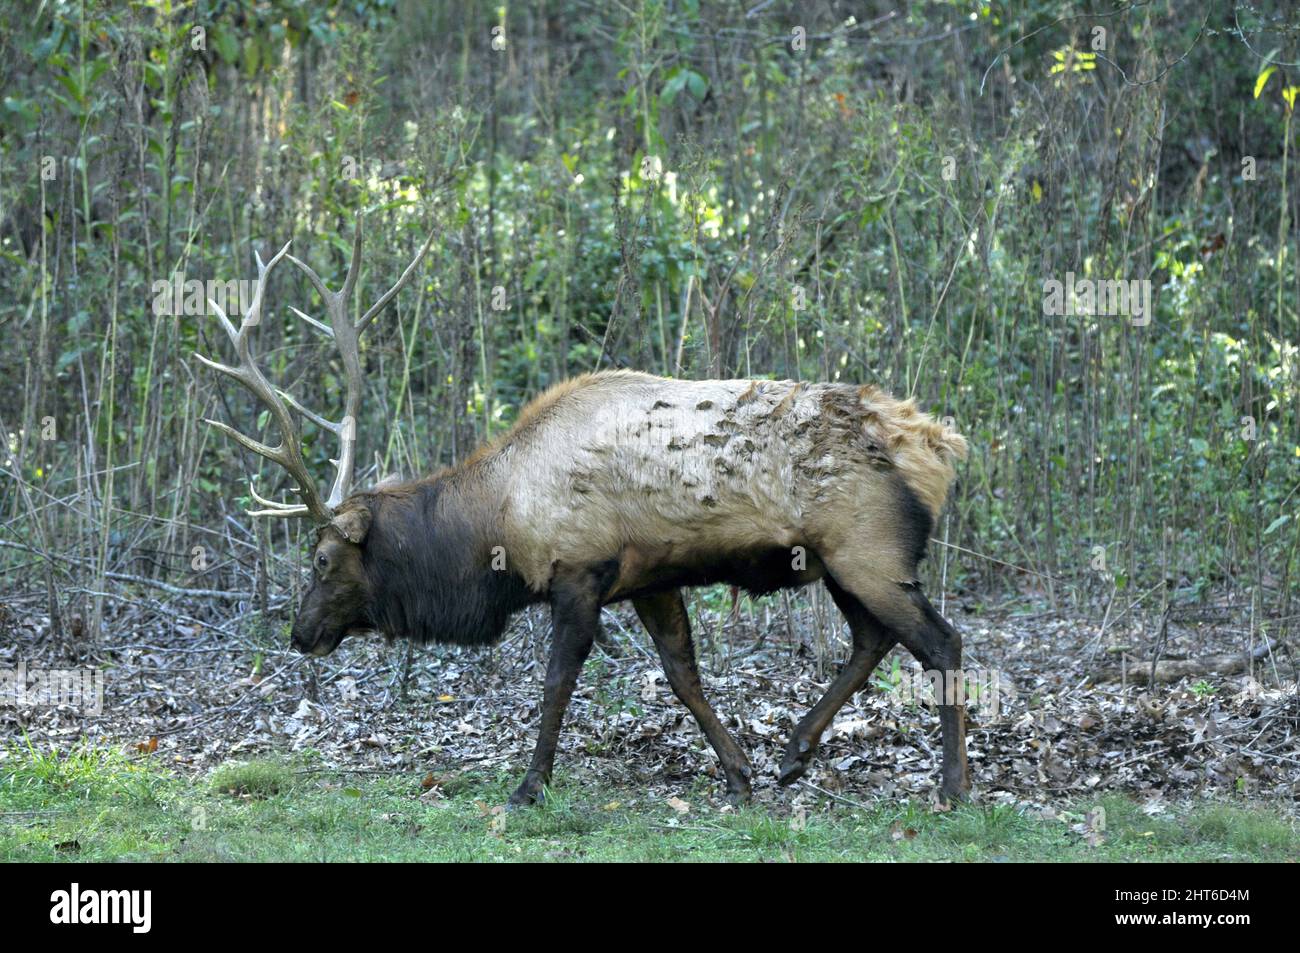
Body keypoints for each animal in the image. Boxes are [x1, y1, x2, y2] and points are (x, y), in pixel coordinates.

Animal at [196, 220, 972, 807]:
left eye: (323, 559)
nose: (299, 633)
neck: (497, 528)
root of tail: (937, 443)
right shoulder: (652, 577)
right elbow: (683, 674)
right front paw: (738, 771)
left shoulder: (578, 570)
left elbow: (557, 681)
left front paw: (529, 785)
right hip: (847, 560)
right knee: (873, 638)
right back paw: (794, 752)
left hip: (867, 549)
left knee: (941, 643)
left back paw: (951, 786)